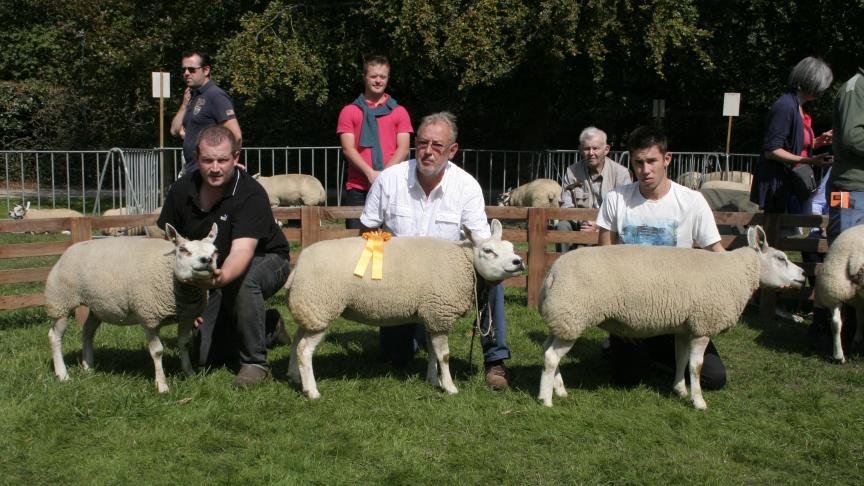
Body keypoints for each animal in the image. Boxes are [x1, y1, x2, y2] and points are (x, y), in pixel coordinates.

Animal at [286, 220, 524, 398]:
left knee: (296, 342)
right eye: (488, 251)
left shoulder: (431, 313)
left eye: (512, 248)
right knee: (304, 349)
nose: (518, 262)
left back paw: (294, 377)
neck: (464, 262)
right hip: (320, 307)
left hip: (308, 309)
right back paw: (312, 391)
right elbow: (444, 355)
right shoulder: (440, 313)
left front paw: (432, 379)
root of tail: (297, 267)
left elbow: (433, 352)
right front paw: (450, 387)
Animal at [536, 226, 808, 408]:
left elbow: (681, 359)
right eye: (781, 258)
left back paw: (559, 391)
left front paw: (679, 390)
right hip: (572, 315)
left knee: (548, 350)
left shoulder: (685, 327)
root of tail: (552, 274)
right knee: (551, 357)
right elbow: (696, 367)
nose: (804, 275)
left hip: (560, 320)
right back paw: (546, 399)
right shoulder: (703, 325)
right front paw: (698, 401)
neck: (737, 273)